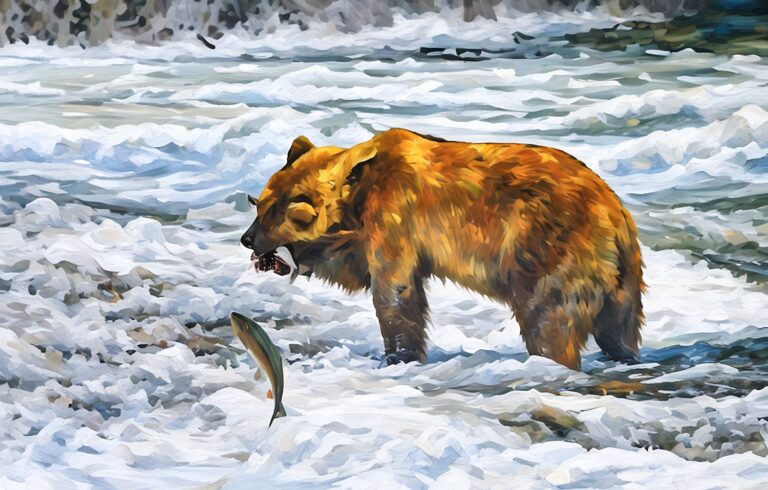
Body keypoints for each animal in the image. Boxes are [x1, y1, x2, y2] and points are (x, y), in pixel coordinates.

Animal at [241, 129, 645, 370]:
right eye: (261, 202)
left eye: (293, 209)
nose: (248, 238)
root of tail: (616, 212)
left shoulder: (395, 216)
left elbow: (396, 293)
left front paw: (400, 355)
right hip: (622, 280)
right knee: (619, 330)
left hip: (547, 248)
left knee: (548, 319)